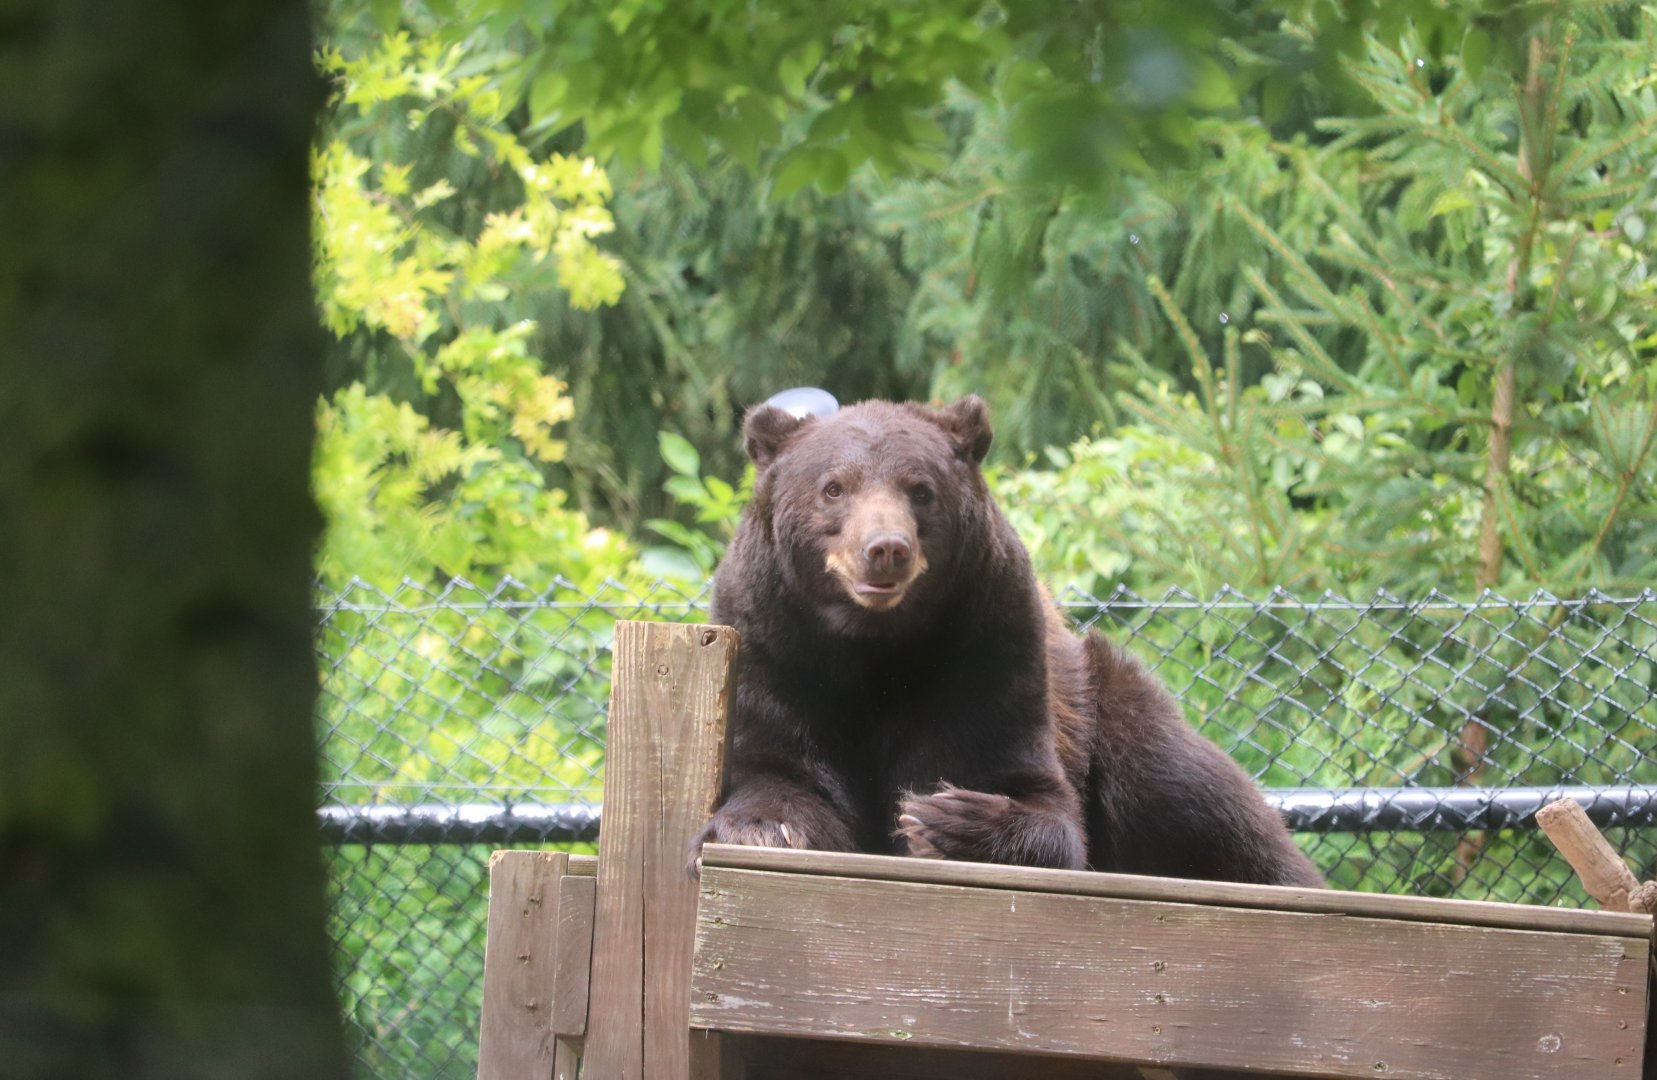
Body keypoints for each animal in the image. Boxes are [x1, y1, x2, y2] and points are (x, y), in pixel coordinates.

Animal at [698, 395, 1323, 889]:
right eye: (833, 488)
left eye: (920, 490)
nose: (886, 548)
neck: (876, 644)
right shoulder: (776, 644)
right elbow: (781, 769)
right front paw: (770, 826)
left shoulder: (985, 643)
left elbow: (1018, 782)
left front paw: (951, 819)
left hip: (1108, 701)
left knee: (1194, 792)